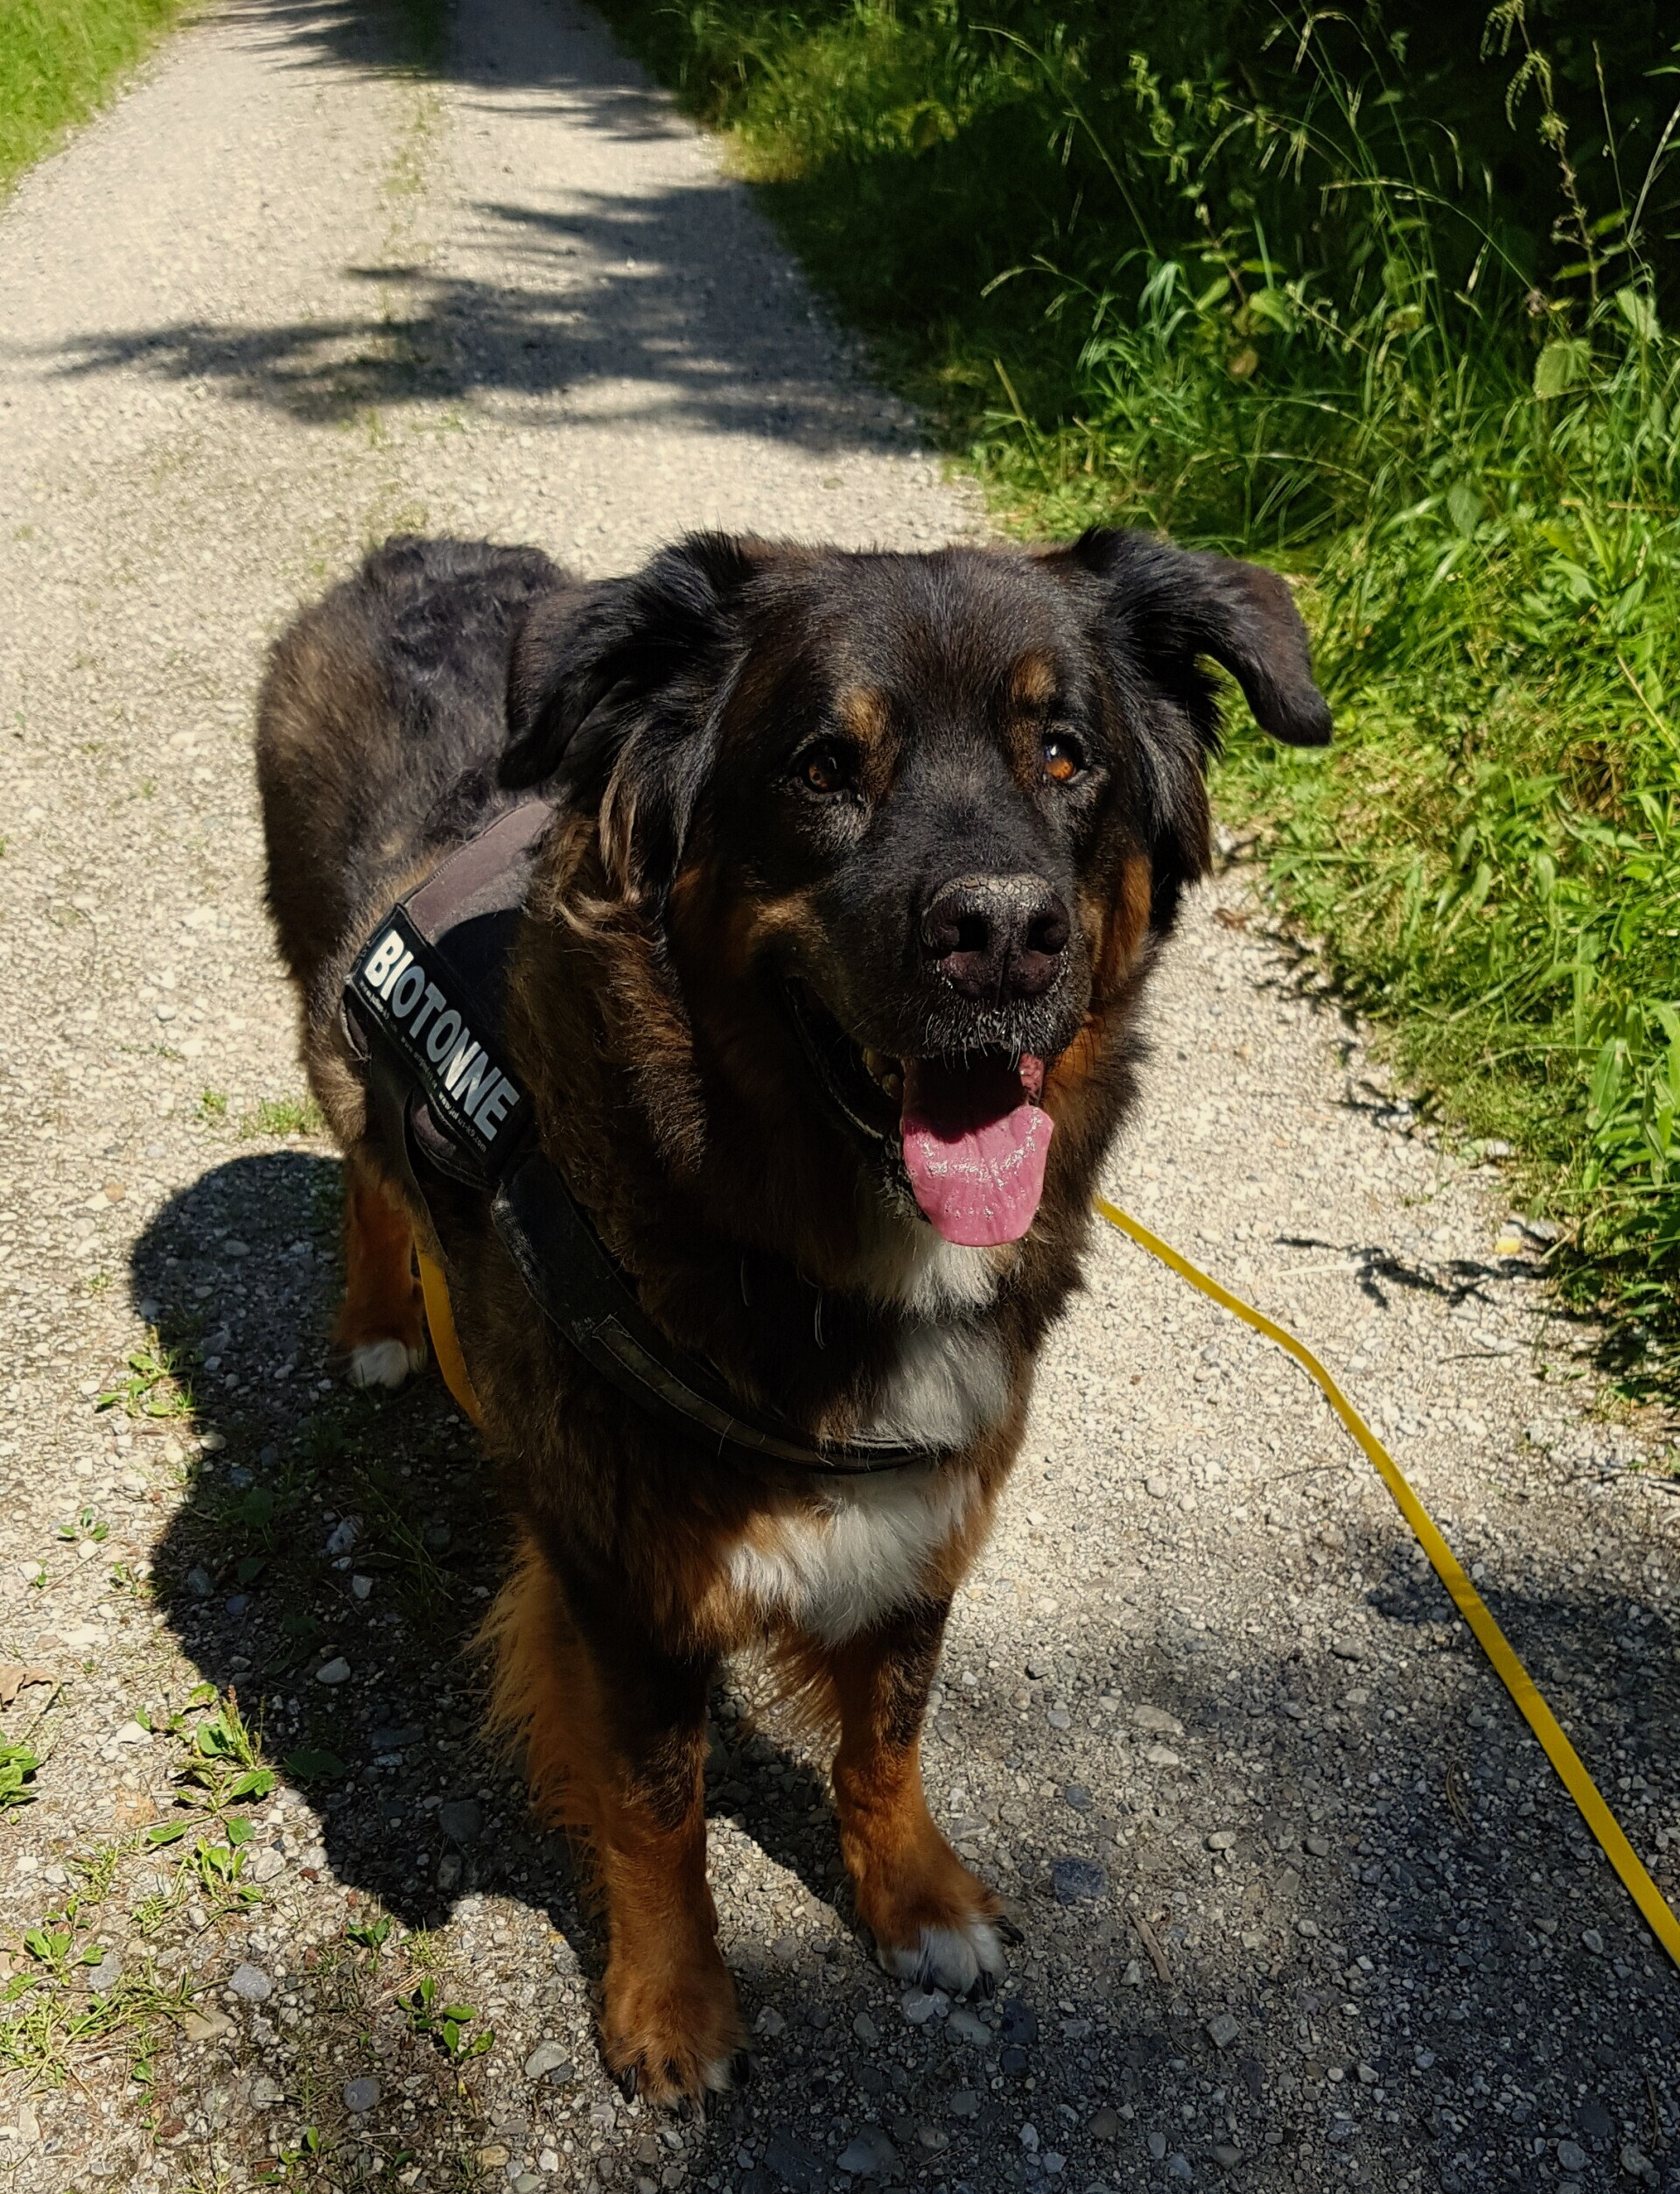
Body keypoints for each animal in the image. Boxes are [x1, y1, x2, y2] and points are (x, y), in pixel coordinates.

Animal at [253, 526, 1333, 2106]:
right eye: (825, 765)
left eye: (1065, 754)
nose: (1005, 934)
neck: (800, 1225)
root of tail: (415, 550)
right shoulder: (621, 1568)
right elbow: (658, 1800)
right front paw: (672, 1999)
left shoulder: (929, 1508)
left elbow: (887, 1731)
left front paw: (917, 1896)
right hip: (324, 1013)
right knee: (362, 1162)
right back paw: (382, 1316)